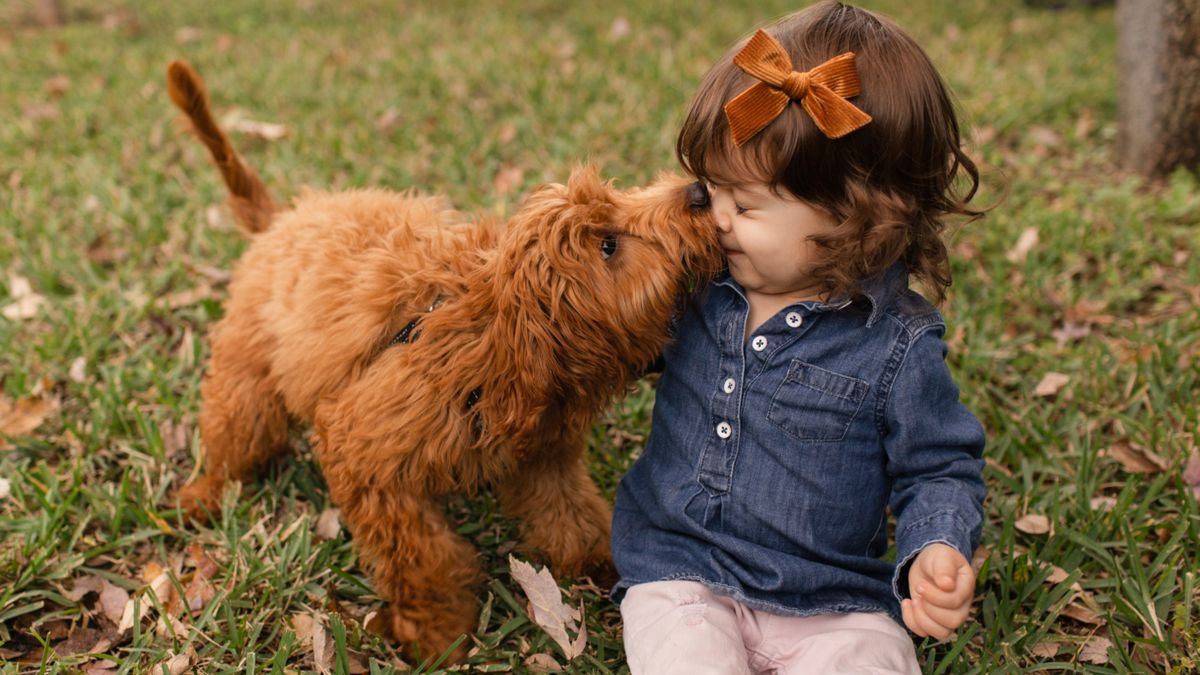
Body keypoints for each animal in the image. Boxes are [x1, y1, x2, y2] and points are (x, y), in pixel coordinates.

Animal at [164, 59, 715, 658]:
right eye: (609, 246)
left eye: (617, 196)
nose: (700, 192)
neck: (486, 332)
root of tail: (282, 220)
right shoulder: (364, 454)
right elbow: (424, 556)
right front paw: (436, 631)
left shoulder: (542, 451)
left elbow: (568, 510)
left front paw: (598, 559)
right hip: (249, 371)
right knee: (237, 433)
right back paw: (204, 493)